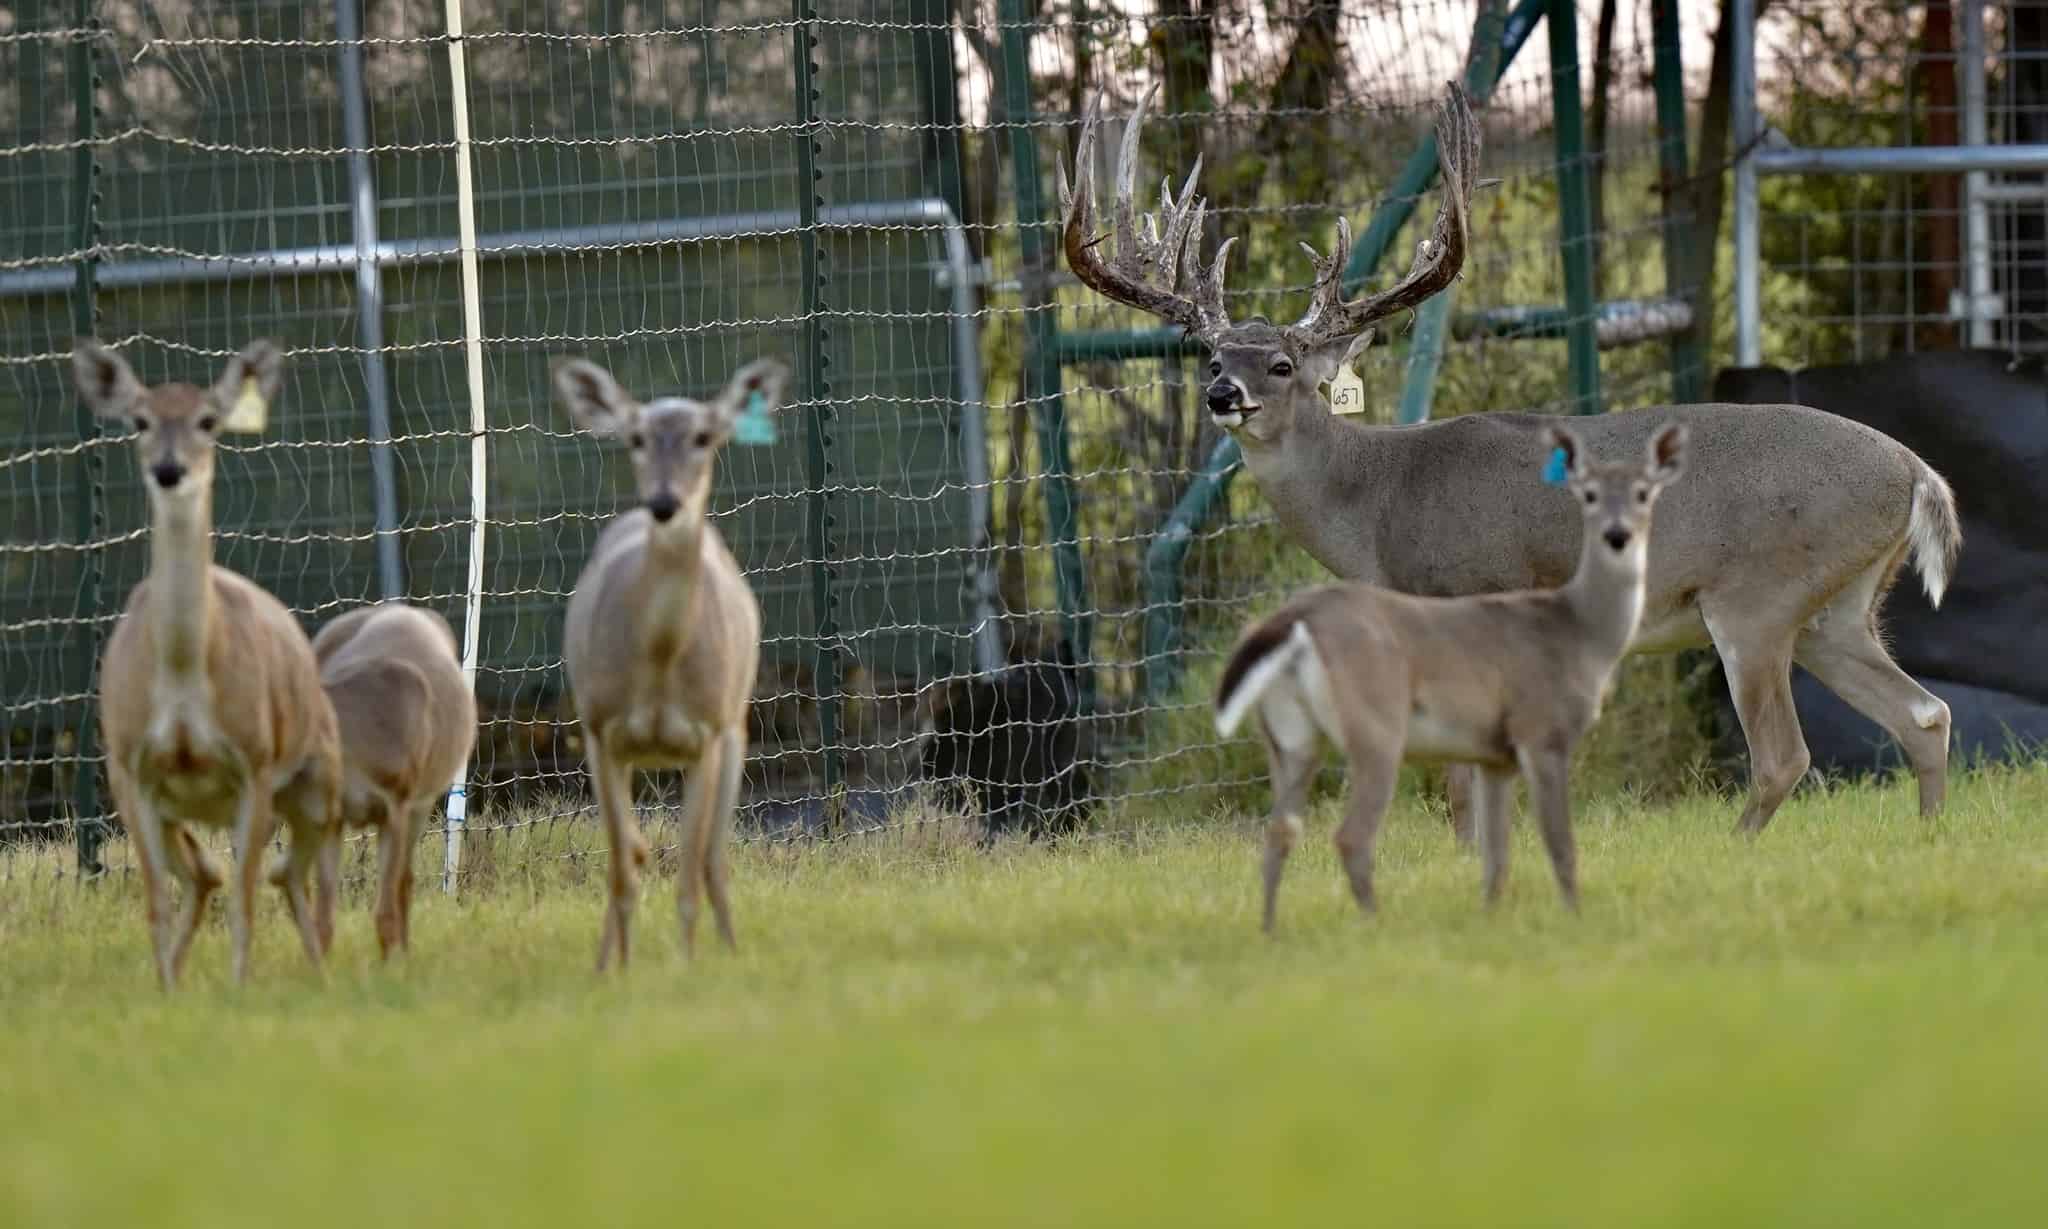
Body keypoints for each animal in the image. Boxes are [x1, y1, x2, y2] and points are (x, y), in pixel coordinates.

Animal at [72, 338, 341, 989]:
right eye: (140, 421)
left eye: (208, 421)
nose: (170, 470)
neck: (183, 678)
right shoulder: (131, 768)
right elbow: (156, 901)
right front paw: (167, 991)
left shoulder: (255, 762)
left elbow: (244, 898)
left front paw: (239, 989)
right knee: (211, 874)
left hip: (318, 773)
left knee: (302, 872)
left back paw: (326, 972)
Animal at [305, 601, 476, 959]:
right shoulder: (332, 815)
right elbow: (323, 919)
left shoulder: (396, 804)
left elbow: (383, 911)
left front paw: (390, 969)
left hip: (421, 801)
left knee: (404, 880)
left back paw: (406, 954)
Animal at [551, 355, 787, 971]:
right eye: (635, 438)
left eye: (703, 437)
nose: (663, 504)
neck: (658, 663)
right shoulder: (599, 728)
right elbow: (620, 871)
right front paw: (614, 970)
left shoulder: (706, 733)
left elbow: (688, 873)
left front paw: (688, 966)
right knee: (634, 853)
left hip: (737, 731)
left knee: (713, 861)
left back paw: (731, 950)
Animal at [1062, 79, 1962, 840]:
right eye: (1212, 358)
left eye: (1281, 365)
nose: (1224, 396)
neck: (1377, 505)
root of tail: (1917, 473)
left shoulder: (1470, 599)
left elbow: (1462, 778)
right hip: (1836, 607)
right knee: (1925, 715)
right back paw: (1925, 838)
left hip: (1756, 597)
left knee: (1787, 754)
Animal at [1216, 423, 1686, 929]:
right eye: (1591, 495)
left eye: (1644, 493)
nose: (1619, 534)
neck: (1578, 627)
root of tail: (1291, 625)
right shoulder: (1542, 733)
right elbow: (1559, 842)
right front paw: (1572, 916)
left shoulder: (1496, 755)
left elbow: (1498, 852)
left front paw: (1492, 913)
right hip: (1376, 731)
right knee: (1350, 835)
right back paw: (1376, 923)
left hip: (1292, 740)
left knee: (1280, 831)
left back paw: (1273, 929)